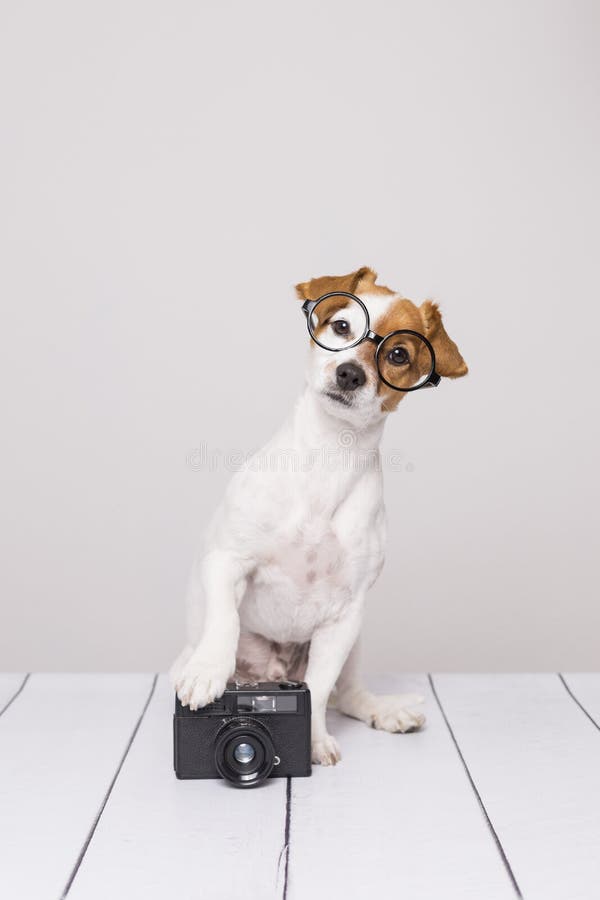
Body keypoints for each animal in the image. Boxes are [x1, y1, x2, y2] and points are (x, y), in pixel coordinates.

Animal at [171, 268, 466, 768]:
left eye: (398, 354)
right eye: (342, 327)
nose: (350, 373)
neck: (330, 455)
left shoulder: (345, 617)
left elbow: (320, 689)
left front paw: (311, 739)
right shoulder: (227, 561)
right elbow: (224, 622)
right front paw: (207, 673)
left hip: (354, 646)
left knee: (348, 693)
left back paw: (387, 710)